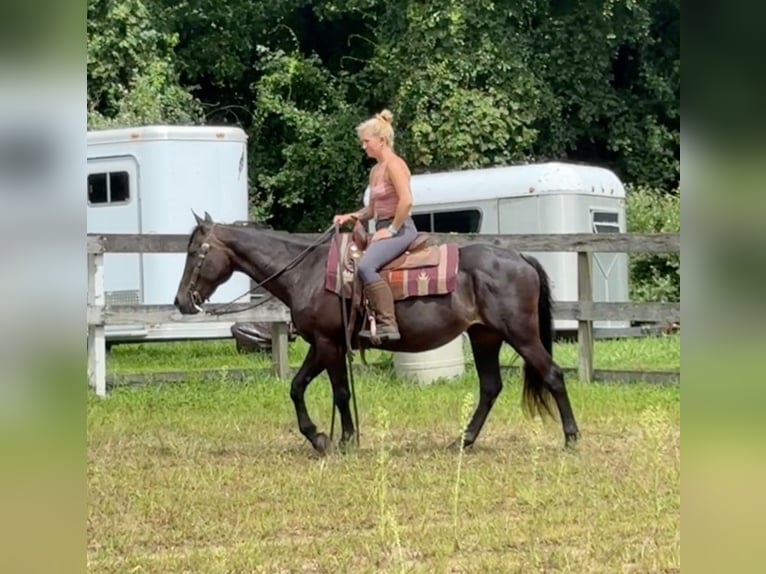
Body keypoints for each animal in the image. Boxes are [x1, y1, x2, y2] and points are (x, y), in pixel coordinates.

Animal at [176, 214, 584, 456]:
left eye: (195, 251)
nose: (181, 301)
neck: (307, 273)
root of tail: (520, 257)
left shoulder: (329, 343)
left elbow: (340, 392)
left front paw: (344, 440)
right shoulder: (321, 344)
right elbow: (296, 386)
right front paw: (319, 437)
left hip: (520, 334)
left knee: (552, 375)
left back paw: (571, 438)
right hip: (485, 336)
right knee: (490, 387)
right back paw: (462, 441)